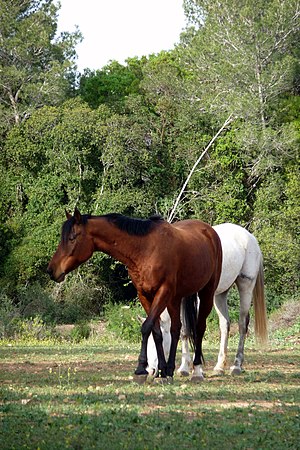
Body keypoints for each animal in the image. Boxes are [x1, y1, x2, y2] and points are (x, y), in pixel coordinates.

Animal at [47, 209, 223, 382]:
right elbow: (156, 332)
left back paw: (197, 371)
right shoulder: (144, 295)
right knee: (176, 329)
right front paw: (161, 371)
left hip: (206, 293)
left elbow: (146, 327)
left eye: (72, 238)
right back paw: (170, 370)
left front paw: (140, 369)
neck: (145, 250)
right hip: (175, 298)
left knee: (199, 328)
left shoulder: (163, 292)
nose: (51, 270)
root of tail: (209, 232)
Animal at [145, 222, 268, 376]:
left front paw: (194, 368)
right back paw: (219, 366)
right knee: (225, 325)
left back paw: (237, 365)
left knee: (242, 324)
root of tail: (250, 237)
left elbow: (194, 328)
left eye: (157, 341)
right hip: (219, 294)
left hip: (245, 285)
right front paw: (184, 368)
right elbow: (184, 330)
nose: (150, 371)